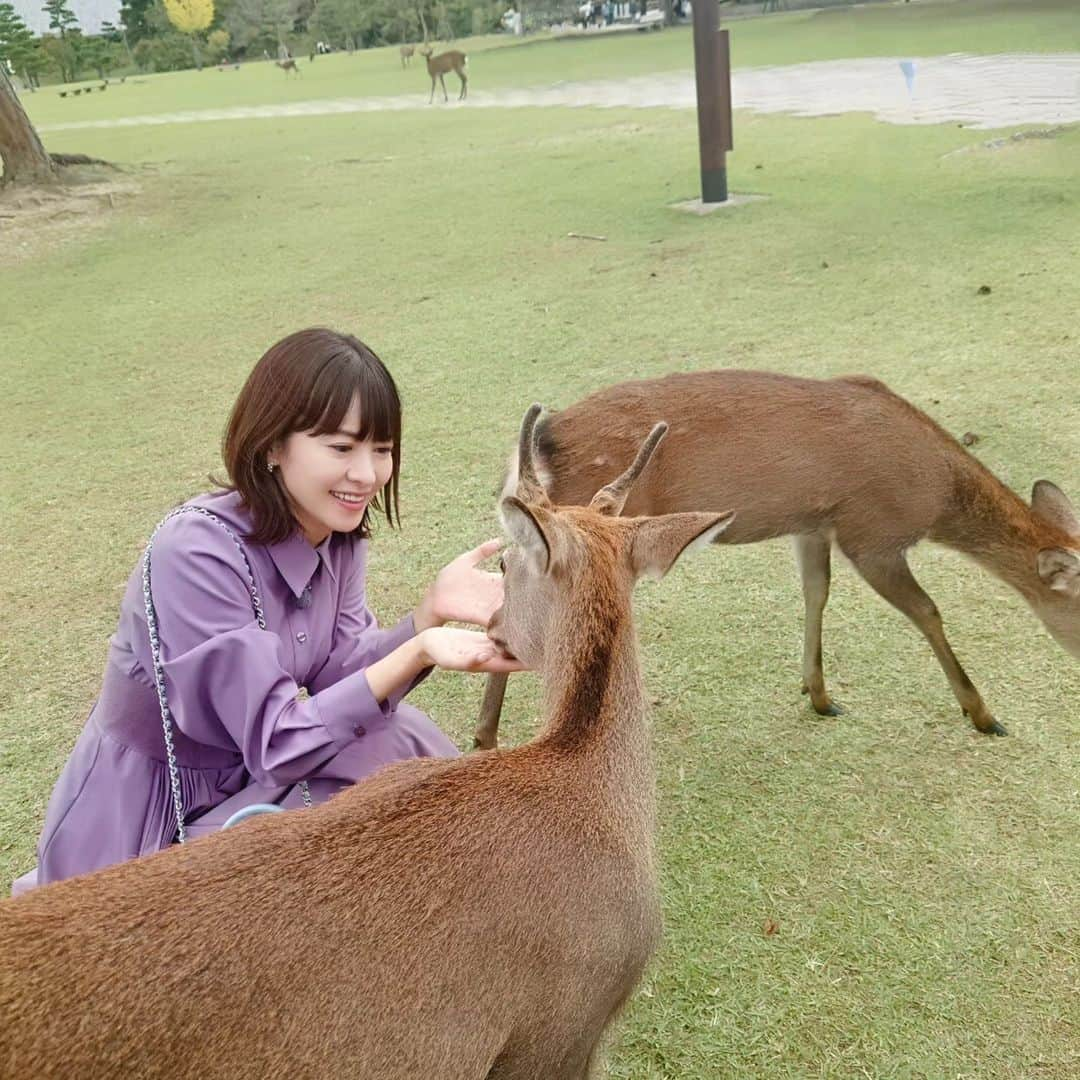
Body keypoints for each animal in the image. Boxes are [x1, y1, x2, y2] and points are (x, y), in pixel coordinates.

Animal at [475, 371, 1080, 751]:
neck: (936, 497)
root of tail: (543, 440)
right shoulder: (873, 533)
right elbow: (929, 611)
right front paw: (984, 716)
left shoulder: (815, 525)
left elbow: (817, 592)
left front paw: (820, 695)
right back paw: (493, 737)